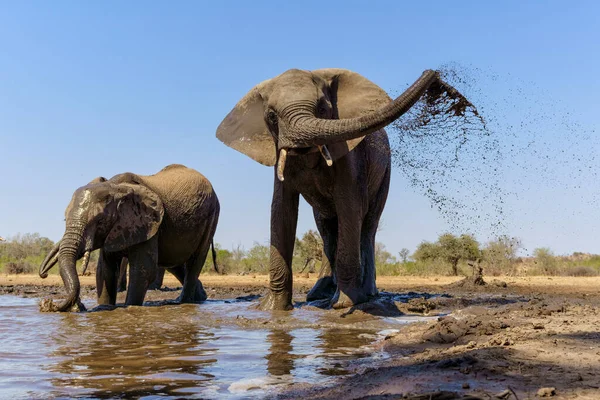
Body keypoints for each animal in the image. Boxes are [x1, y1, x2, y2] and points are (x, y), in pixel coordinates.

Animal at [39, 164, 220, 310]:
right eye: (65, 219)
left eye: (100, 221)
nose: (50, 304)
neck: (114, 187)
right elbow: (105, 271)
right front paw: (104, 307)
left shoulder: (148, 223)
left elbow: (142, 270)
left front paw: (130, 307)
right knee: (172, 262)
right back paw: (200, 297)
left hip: (212, 215)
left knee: (195, 261)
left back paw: (184, 302)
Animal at [218, 68, 442, 310]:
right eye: (271, 116)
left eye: (323, 109)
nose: (433, 73)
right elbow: (281, 212)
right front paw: (272, 308)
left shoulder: (349, 153)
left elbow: (349, 205)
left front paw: (344, 304)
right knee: (326, 228)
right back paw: (317, 294)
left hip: (385, 172)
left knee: (368, 225)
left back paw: (366, 294)